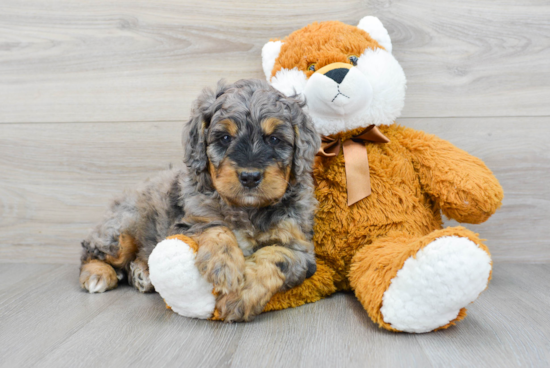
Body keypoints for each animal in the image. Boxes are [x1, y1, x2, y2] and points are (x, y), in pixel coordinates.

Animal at [79, 79, 322, 320]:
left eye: (274, 139)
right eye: (225, 138)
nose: (250, 177)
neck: (246, 208)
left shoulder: (301, 248)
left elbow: (277, 256)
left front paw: (239, 295)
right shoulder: (186, 222)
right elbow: (214, 227)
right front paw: (224, 265)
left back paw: (141, 273)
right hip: (122, 230)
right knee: (91, 250)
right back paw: (98, 275)